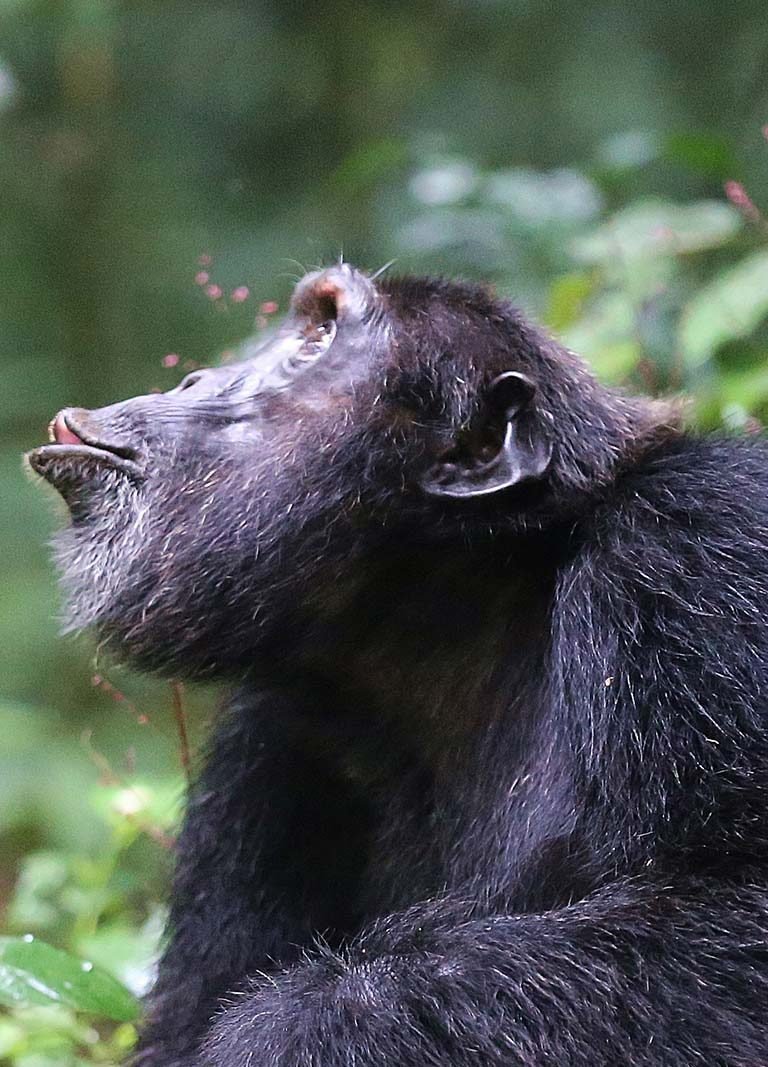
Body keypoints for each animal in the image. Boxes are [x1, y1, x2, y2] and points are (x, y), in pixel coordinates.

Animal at [26, 266, 768, 1067]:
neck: (446, 614)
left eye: (317, 338)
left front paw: (295, 1027)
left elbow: (726, 914)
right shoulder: (265, 740)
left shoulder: (693, 556)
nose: (198, 376)